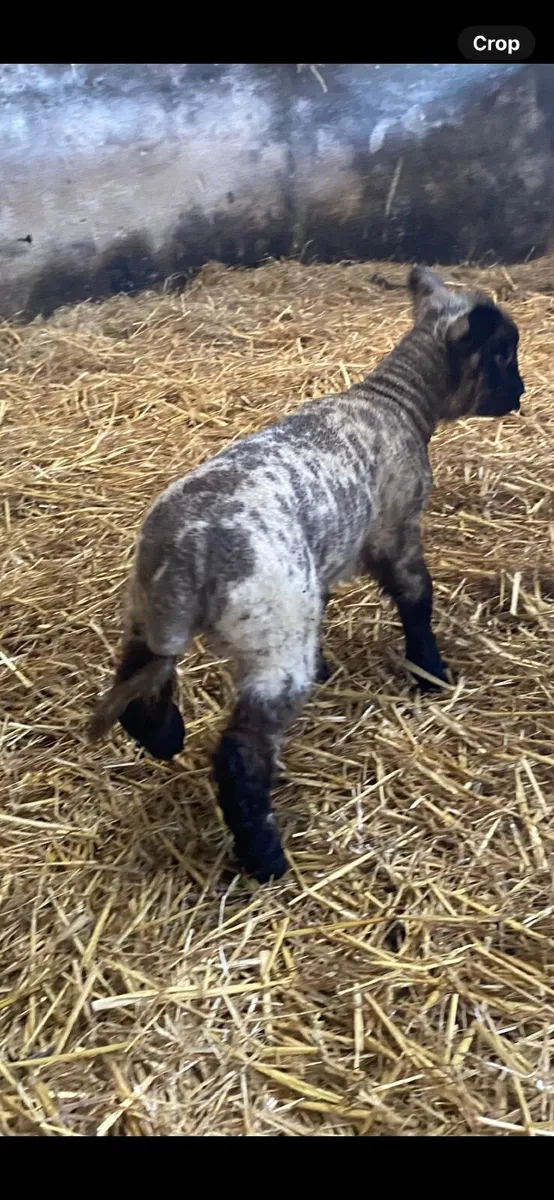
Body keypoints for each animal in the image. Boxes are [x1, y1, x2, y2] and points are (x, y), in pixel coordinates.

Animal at [88, 266, 524, 884]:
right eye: (503, 352)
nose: (522, 393)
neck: (398, 402)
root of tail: (186, 552)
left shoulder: (325, 557)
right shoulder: (394, 528)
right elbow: (416, 597)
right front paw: (431, 673)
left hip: (145, 613)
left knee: (140, 683)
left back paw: (165, 737)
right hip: (273, 634)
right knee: (242, 755)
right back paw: (264, 856)